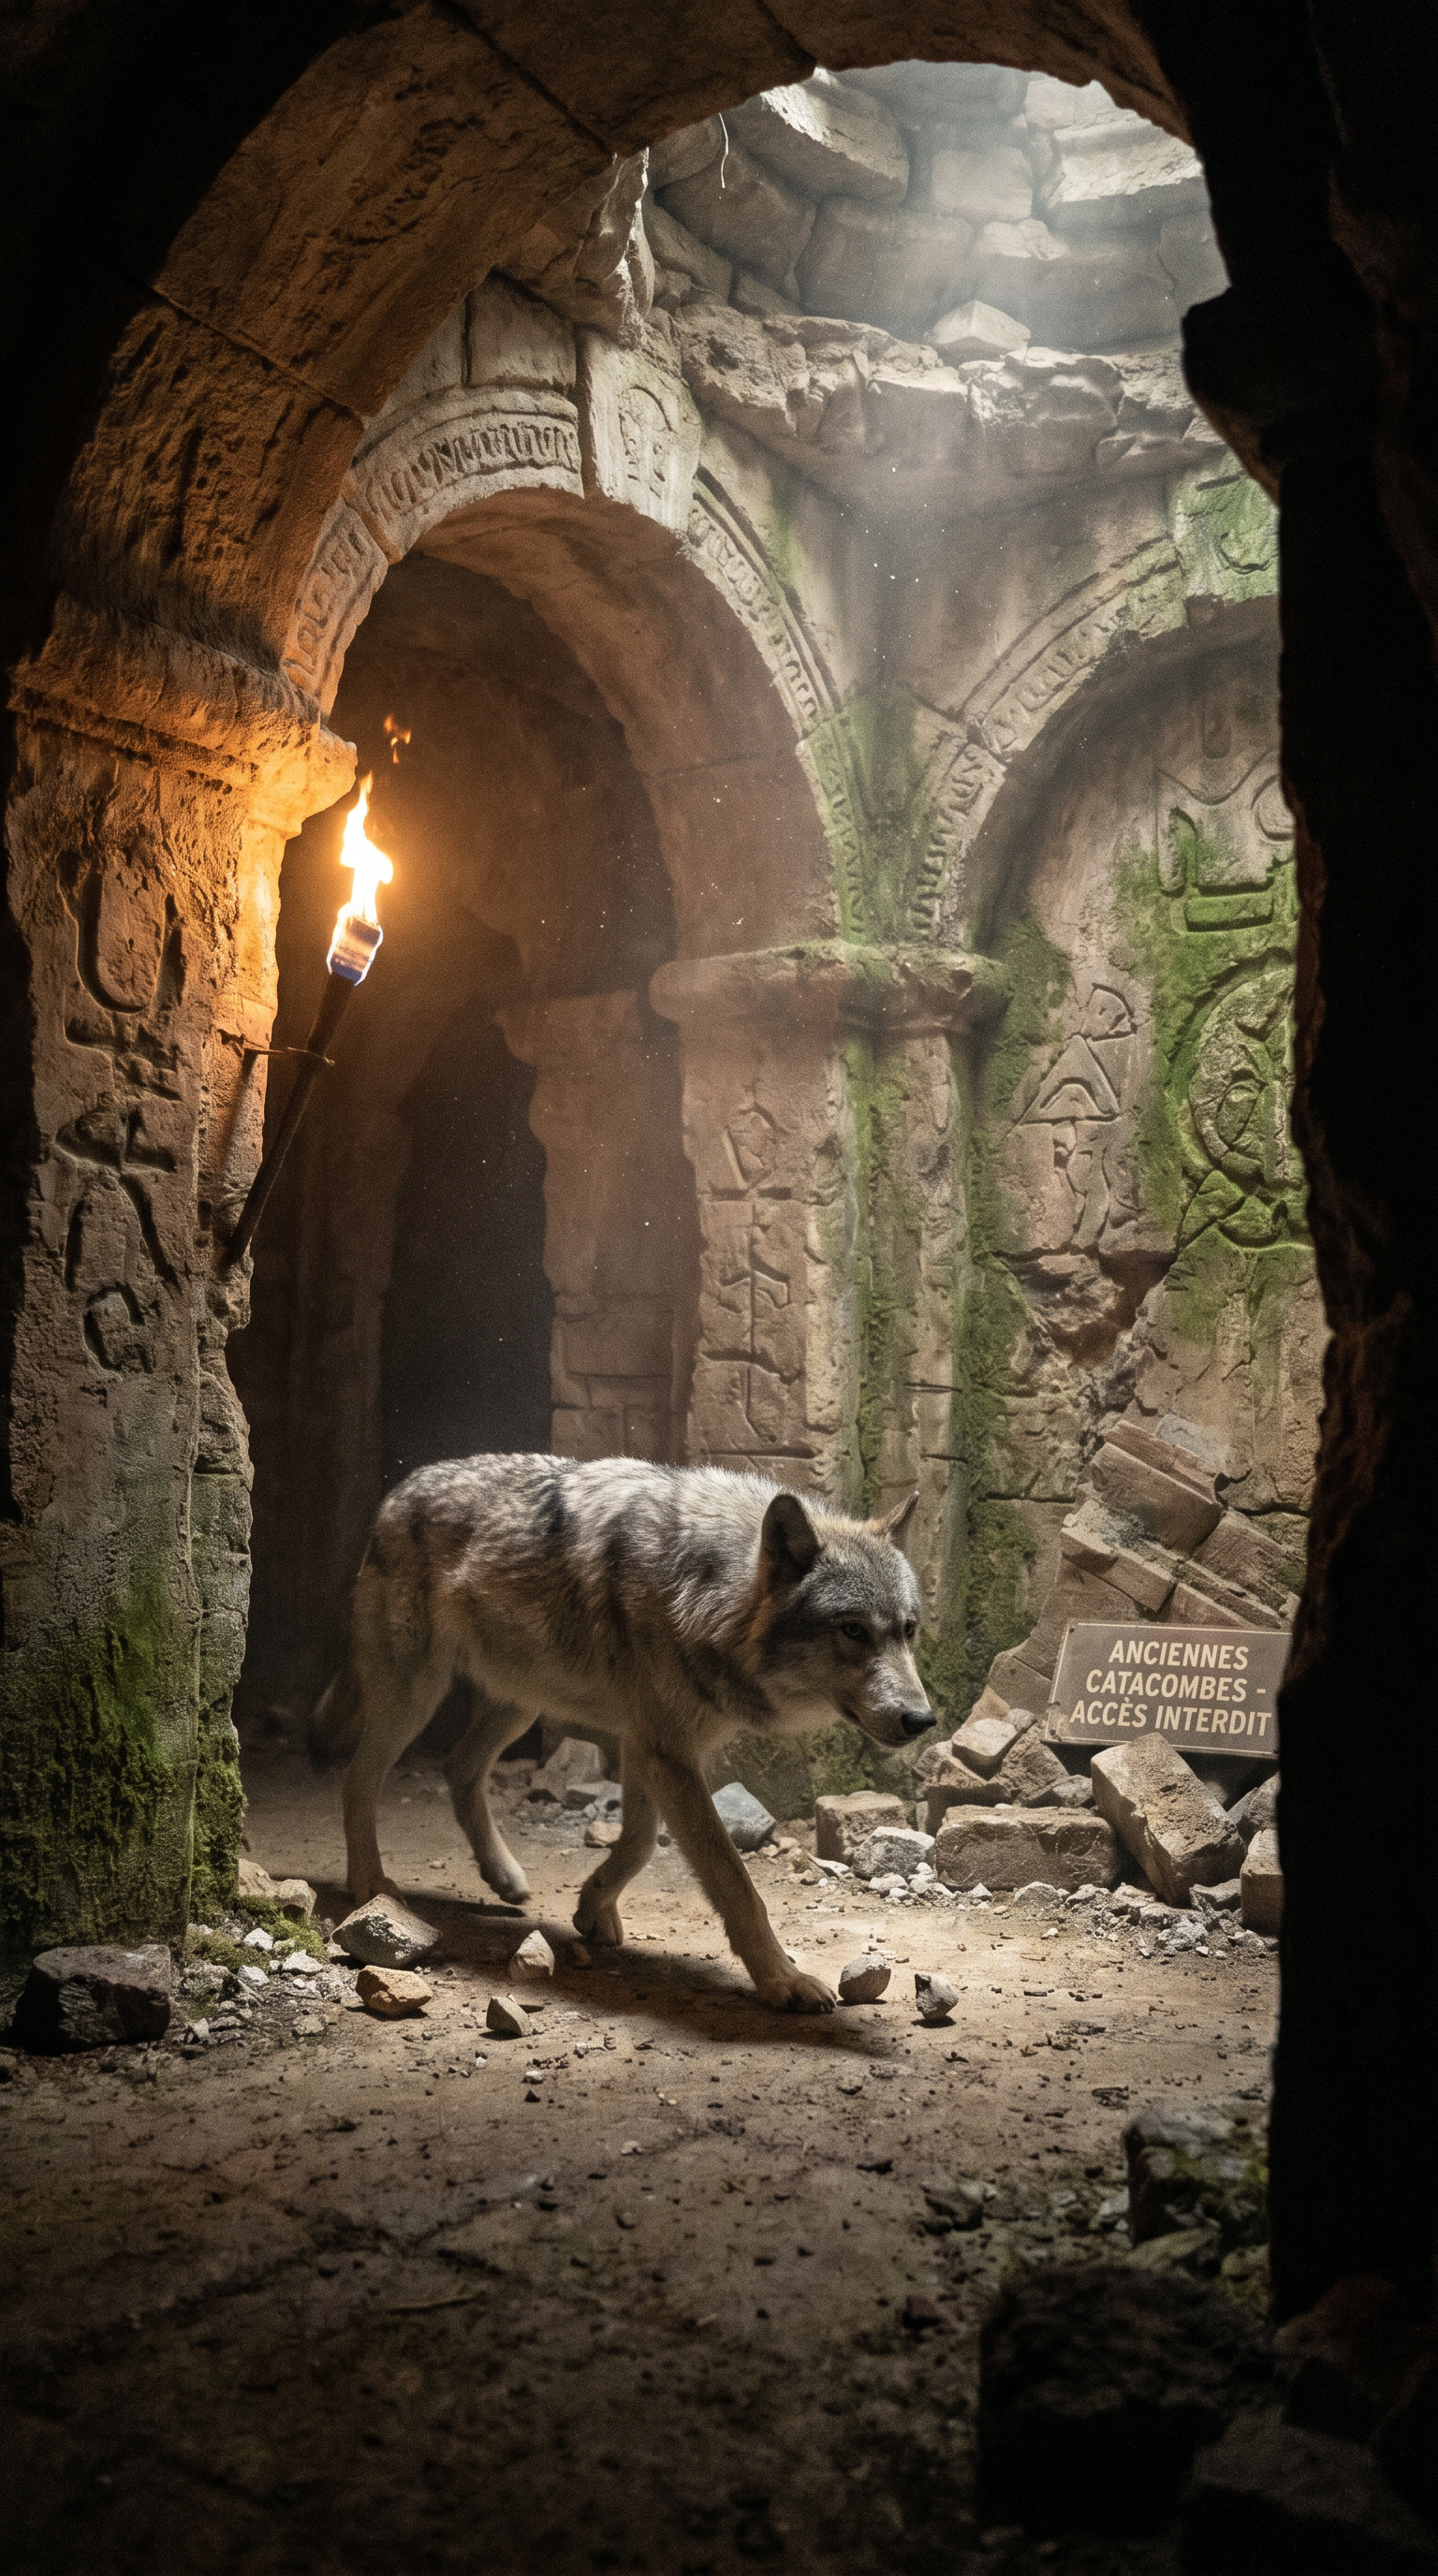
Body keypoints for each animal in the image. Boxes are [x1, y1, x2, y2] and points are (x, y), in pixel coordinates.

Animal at [310, 1454, 933, 2012]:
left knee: (459, 1768)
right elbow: (734, 1882)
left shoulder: (648, 1746)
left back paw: (504, 1877)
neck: (706, 1590)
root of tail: (400, 1489)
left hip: (519, 1704)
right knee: (357, 1778)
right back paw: (372, 1885)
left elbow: (637, 1842)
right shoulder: (666, 1753)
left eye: (908, 1631)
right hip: (415, 1696)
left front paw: (593, 1910)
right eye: (853, 1631)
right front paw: (783, 1980)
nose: (923, 1720)